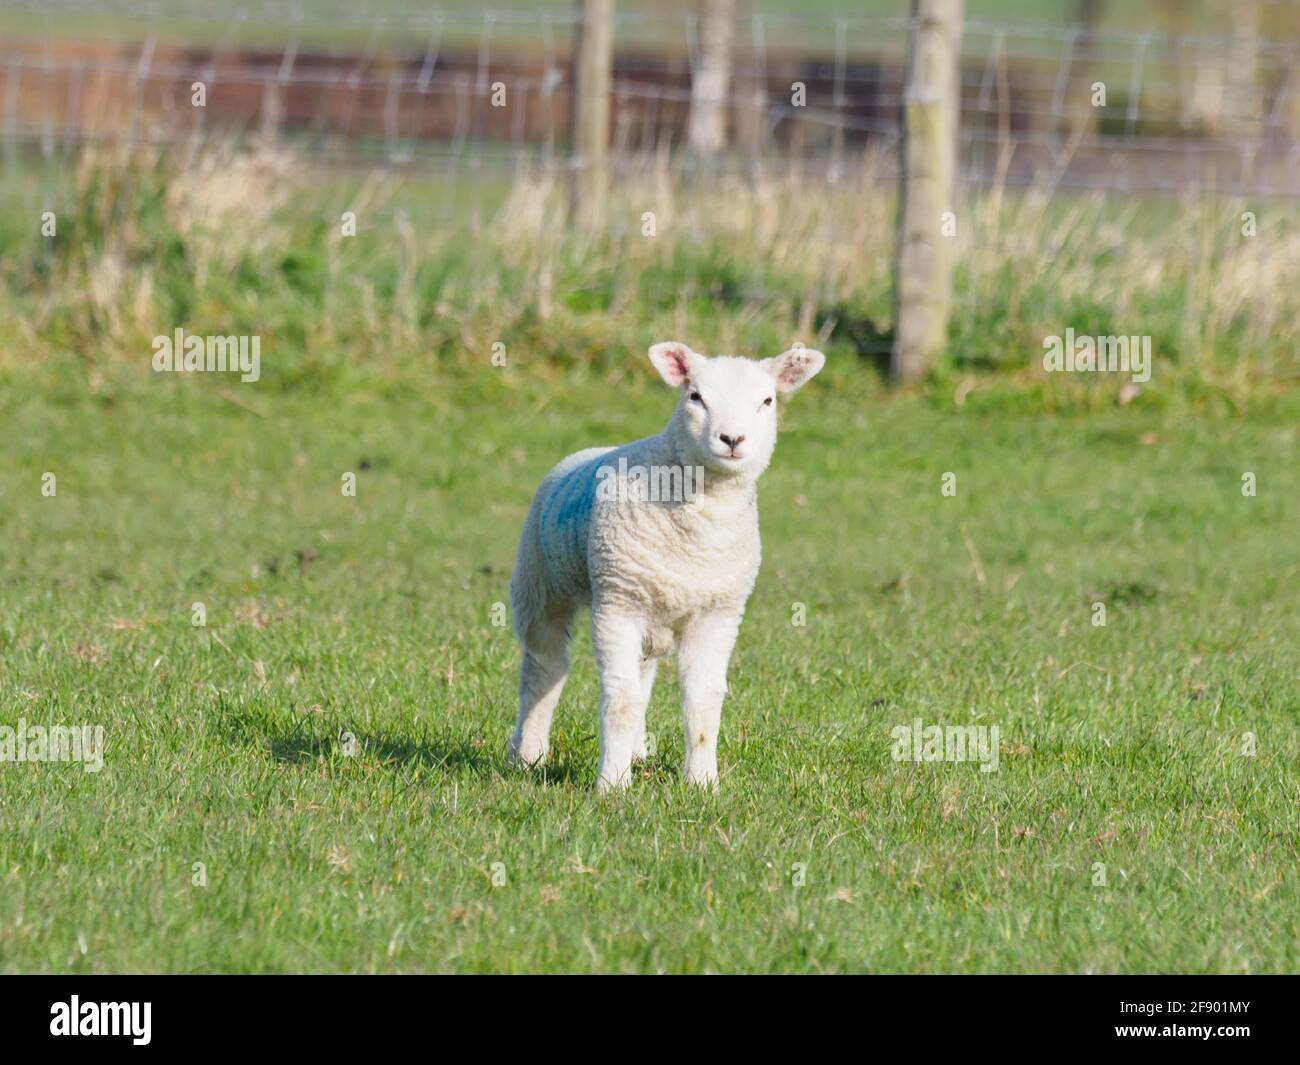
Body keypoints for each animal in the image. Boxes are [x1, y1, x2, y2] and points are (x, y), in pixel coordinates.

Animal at [504, 340, 821, 790]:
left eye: (767, 400)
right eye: (696, 397)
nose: (732, 438)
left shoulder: (718, 613)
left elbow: (703, 699)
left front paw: (702, 782)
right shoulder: (617, 605)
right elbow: (619, 701)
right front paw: (612, 785)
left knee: (642, 677)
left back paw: (635, 752)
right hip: (541, 586)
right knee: (544, 669)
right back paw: (528, 754)